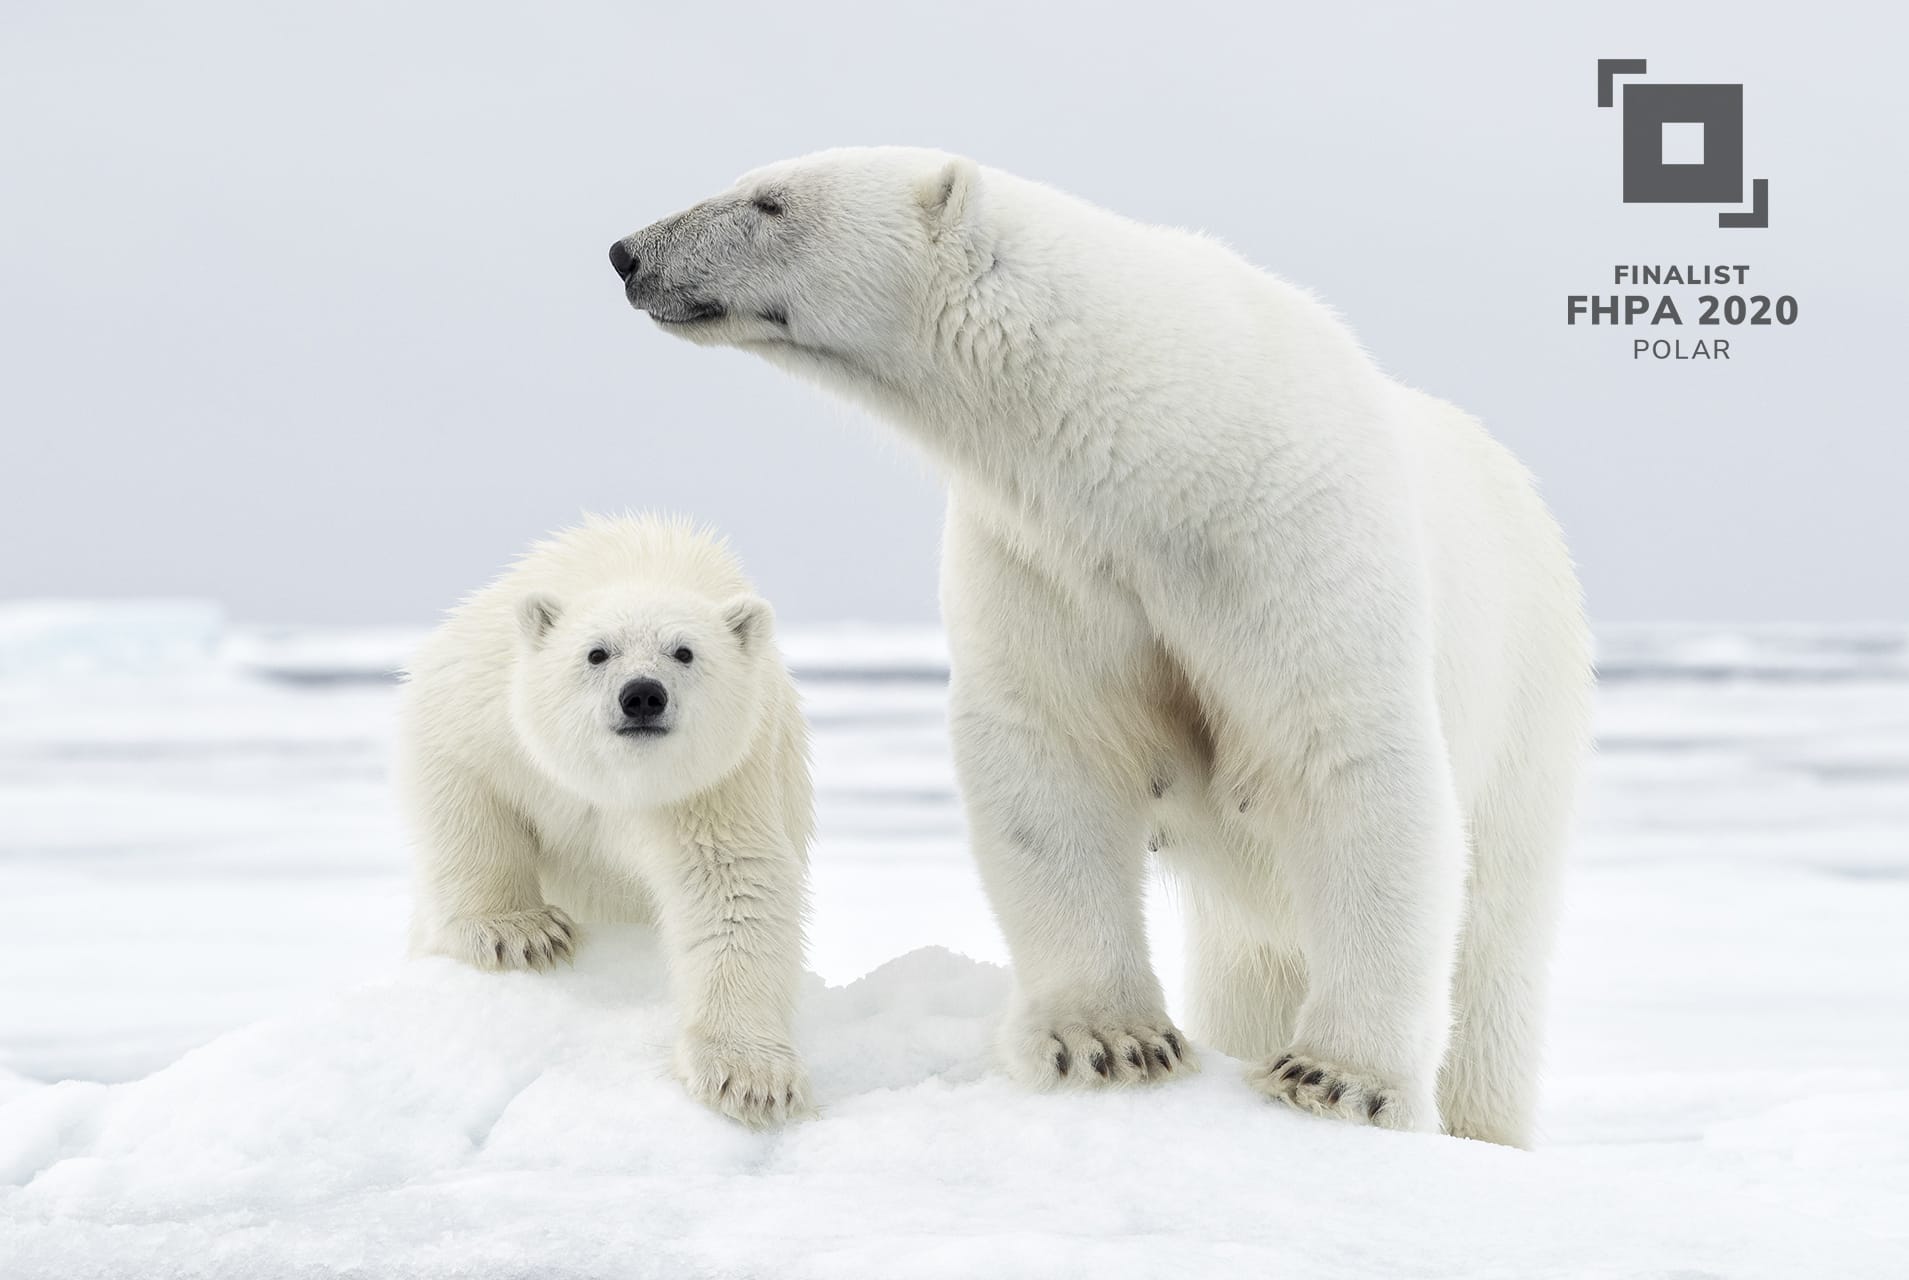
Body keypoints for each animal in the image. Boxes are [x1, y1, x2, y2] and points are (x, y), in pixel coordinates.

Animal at [397, 514, 814, 1128]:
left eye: (684, 652)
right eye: (597, 653)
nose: (642, 695)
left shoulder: (720, 778)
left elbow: (735, 884)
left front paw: (748, 1077)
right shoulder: (488, 701)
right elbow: (463, 779)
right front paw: (521, 933)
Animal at [607, 149, 1595, 1147]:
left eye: (770, 200)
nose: (627, 253)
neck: (1168, 450)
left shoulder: (1292, 538)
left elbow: (1347, 754)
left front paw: (1335, 1077)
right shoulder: (1049, 558)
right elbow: (1054, 752)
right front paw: (1109, 1042)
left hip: (1532, 702)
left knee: (1493, 942)